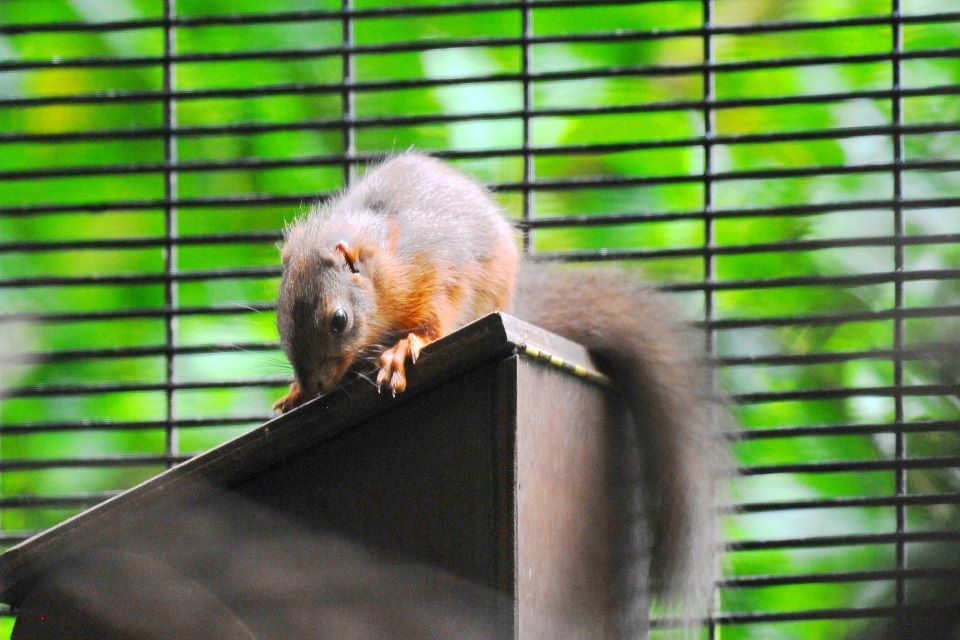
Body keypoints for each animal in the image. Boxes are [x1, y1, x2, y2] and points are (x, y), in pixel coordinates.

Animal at [274, 151, 726, 628]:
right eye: (280, 317)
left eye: (339, 320)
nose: (317, 384)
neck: (382, 260)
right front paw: (295, 393)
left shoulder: (437, 266)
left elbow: (437, 311)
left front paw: (402, 349)